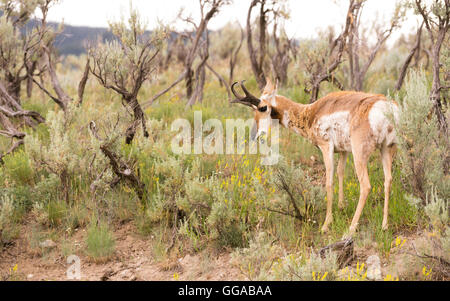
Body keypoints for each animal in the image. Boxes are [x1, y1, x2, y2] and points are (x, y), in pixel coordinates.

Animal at [230, 78, 400, 233]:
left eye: (262, 107)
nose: (254, 135)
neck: (311, 112)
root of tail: (384, 107)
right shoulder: (344, 151)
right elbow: (340, 173)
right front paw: (341, 207)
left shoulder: (326, 148)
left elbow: (329, 183)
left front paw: (326, 224)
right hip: (386, 149)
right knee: (388, 180)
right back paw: (384, 225)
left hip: (360, 154)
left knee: (365, 186)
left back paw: (351, 228)